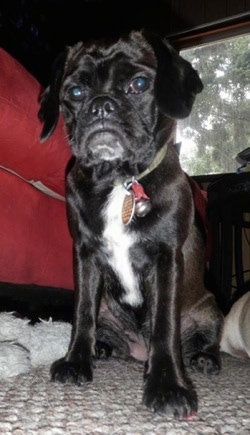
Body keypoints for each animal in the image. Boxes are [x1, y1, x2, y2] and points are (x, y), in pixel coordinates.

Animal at [38, 32, 223, 420]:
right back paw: (102, 349)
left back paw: (204, 359)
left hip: (211, 308)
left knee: (205, 342)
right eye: (76, 91)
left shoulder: (165, 259)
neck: (118, 181)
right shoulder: (85, 256)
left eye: (139, 84)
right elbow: (81, 314)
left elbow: (164, 325)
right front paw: (76, 362)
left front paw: (168, 387)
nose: (102, 106)